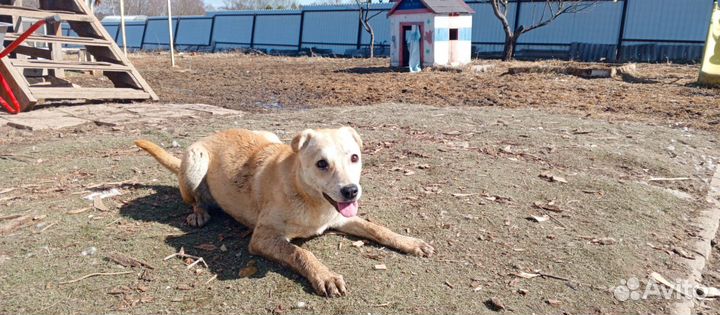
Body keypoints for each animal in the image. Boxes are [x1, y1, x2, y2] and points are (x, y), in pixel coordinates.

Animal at [136, 127, 434, 298]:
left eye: (354, 158)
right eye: (321, 164)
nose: (351, 191)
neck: (309, 198)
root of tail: (212, 134)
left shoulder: (340, 217)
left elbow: (377, 228)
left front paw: (410, 242)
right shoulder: (262, 238)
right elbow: (301, 252)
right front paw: (325, 276)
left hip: (268, 136)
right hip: (196, 161)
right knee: (195, 198)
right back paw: (199, 212)